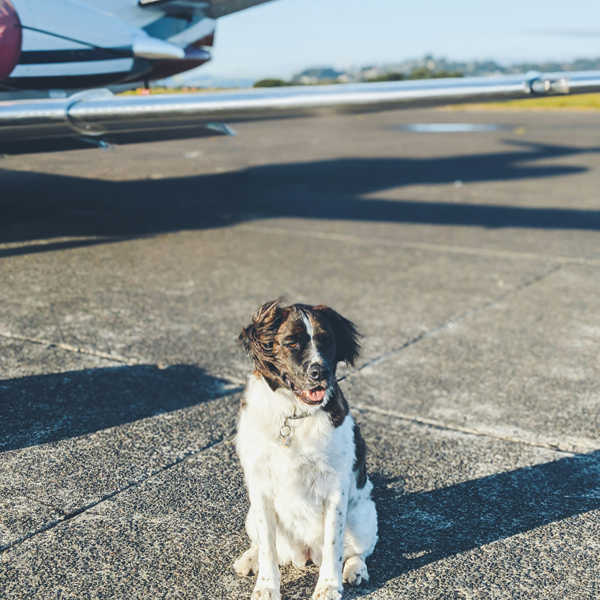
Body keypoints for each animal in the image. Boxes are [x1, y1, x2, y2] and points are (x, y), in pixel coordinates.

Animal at [233, 300, 376, 600]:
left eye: (328, 341)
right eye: (292, 343)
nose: (320, 372)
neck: (294, 415)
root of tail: (305, 554)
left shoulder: (336, 490)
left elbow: (334, 545)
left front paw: (329, 586)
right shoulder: (260, 489)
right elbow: (267, 547)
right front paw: (266, 586)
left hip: (363, 517)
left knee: (359, 552)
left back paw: (355, 569)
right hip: (250, 515)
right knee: (262, 545)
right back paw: (249, 559)